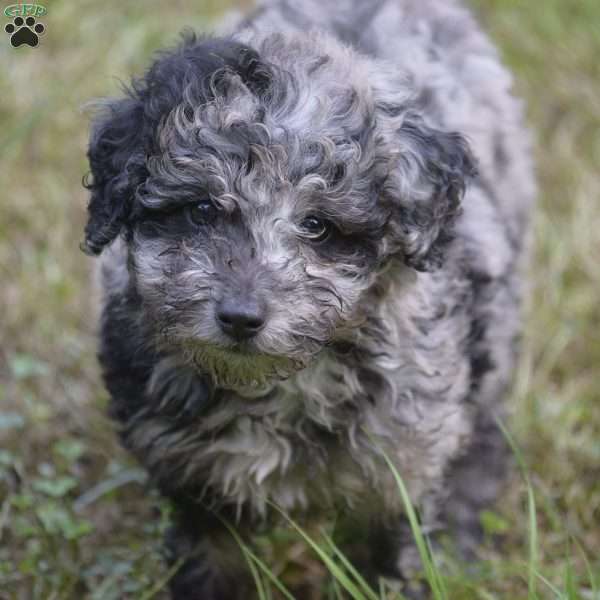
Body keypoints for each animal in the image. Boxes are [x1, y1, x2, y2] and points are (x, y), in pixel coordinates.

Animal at [83, 0, 536, 596]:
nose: (241, 318)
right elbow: (211, 561)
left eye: (318, 225)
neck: (277, 385)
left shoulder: (405, 460)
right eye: (201, 209)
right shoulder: (193, 478)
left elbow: (398, 551)